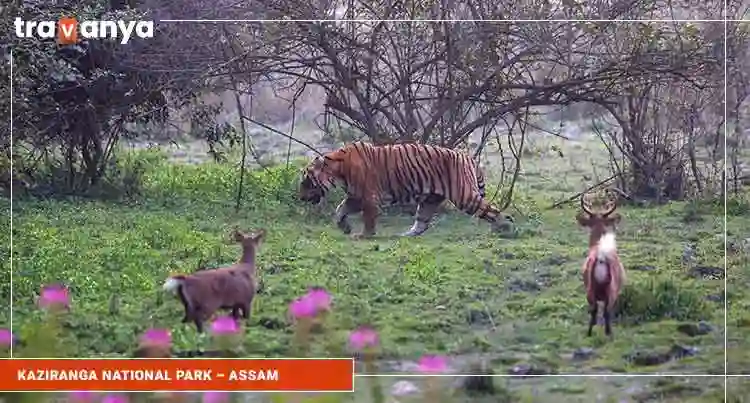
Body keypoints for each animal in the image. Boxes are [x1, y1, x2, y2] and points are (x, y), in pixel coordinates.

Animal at [300, 141, 516, 238]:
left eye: (306, 181)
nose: (300, 198)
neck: (337, 169)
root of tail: (467, 157)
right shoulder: (355, 196)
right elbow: (340, 210)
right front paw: (344, 227)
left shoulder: (368, 197)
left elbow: (367, 217)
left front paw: (365, 235)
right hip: (430, 199)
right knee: (422, 223)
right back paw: (405, 235)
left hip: (465, 196)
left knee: (492, 211)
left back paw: (505, 227)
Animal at [580, 192, 624, 338]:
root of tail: (601, 257)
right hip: (610, 289)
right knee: (604, 311)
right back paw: (607, 333)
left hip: (590, 288)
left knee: (595, 310)